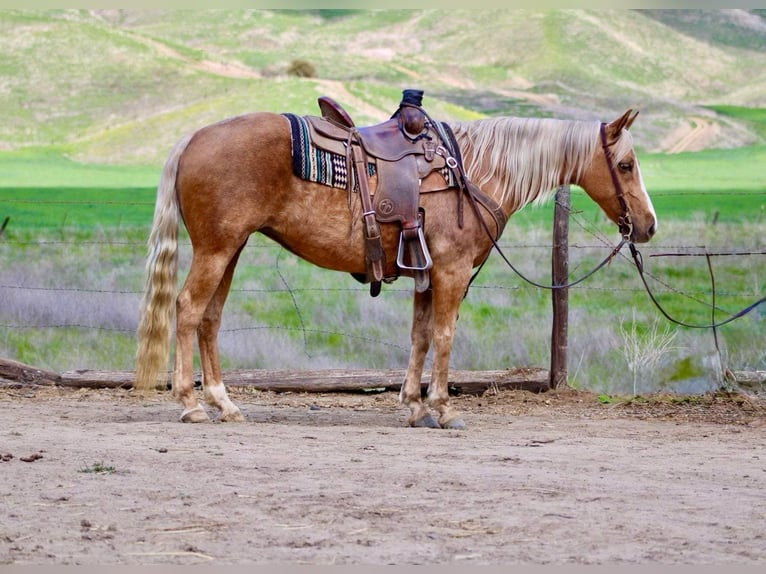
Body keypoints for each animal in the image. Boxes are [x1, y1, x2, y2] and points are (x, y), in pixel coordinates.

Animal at [134, 107, 657, 429]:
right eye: (626, 165)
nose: (648, 225)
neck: (473, 171)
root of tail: (195, 137)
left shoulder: (427, 274)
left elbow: (420, 336)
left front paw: (413, 406)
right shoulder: (451, 272)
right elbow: (444, 335)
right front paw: (442, 408)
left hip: (231, 249)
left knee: (210, 318)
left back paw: (224, 403)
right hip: (216, 250)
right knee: (187, 309)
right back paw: (190, 406)